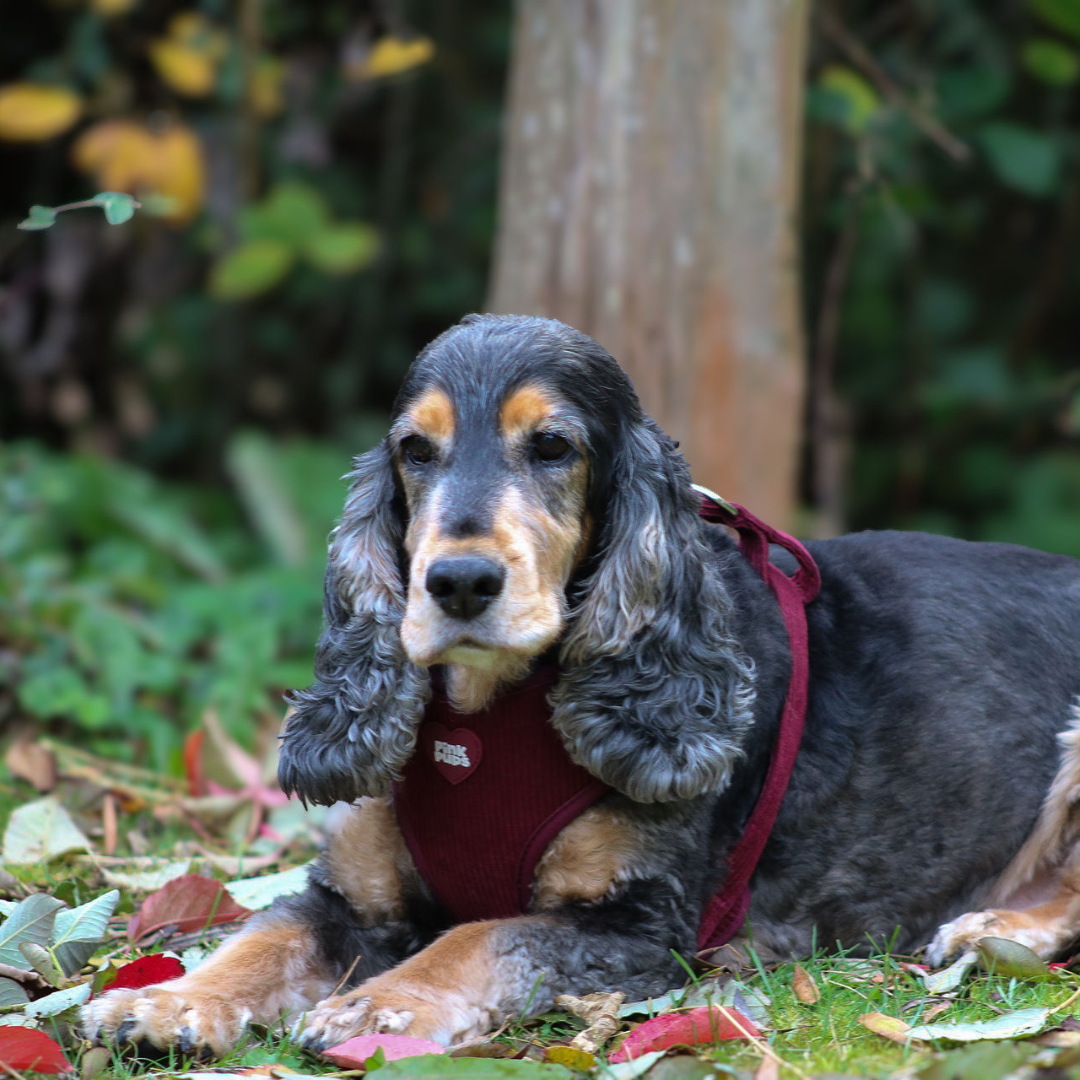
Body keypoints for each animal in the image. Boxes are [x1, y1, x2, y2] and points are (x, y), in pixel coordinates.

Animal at [84, 313, 1080, 1054]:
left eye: (554, 446)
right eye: (415, 450)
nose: (458, 582)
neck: (488, 719)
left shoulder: (639, 930)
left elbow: (481, 936)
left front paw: (381, 1005)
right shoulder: (348, 896)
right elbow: (264, 935)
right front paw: (166, 1002)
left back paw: (997, 928)